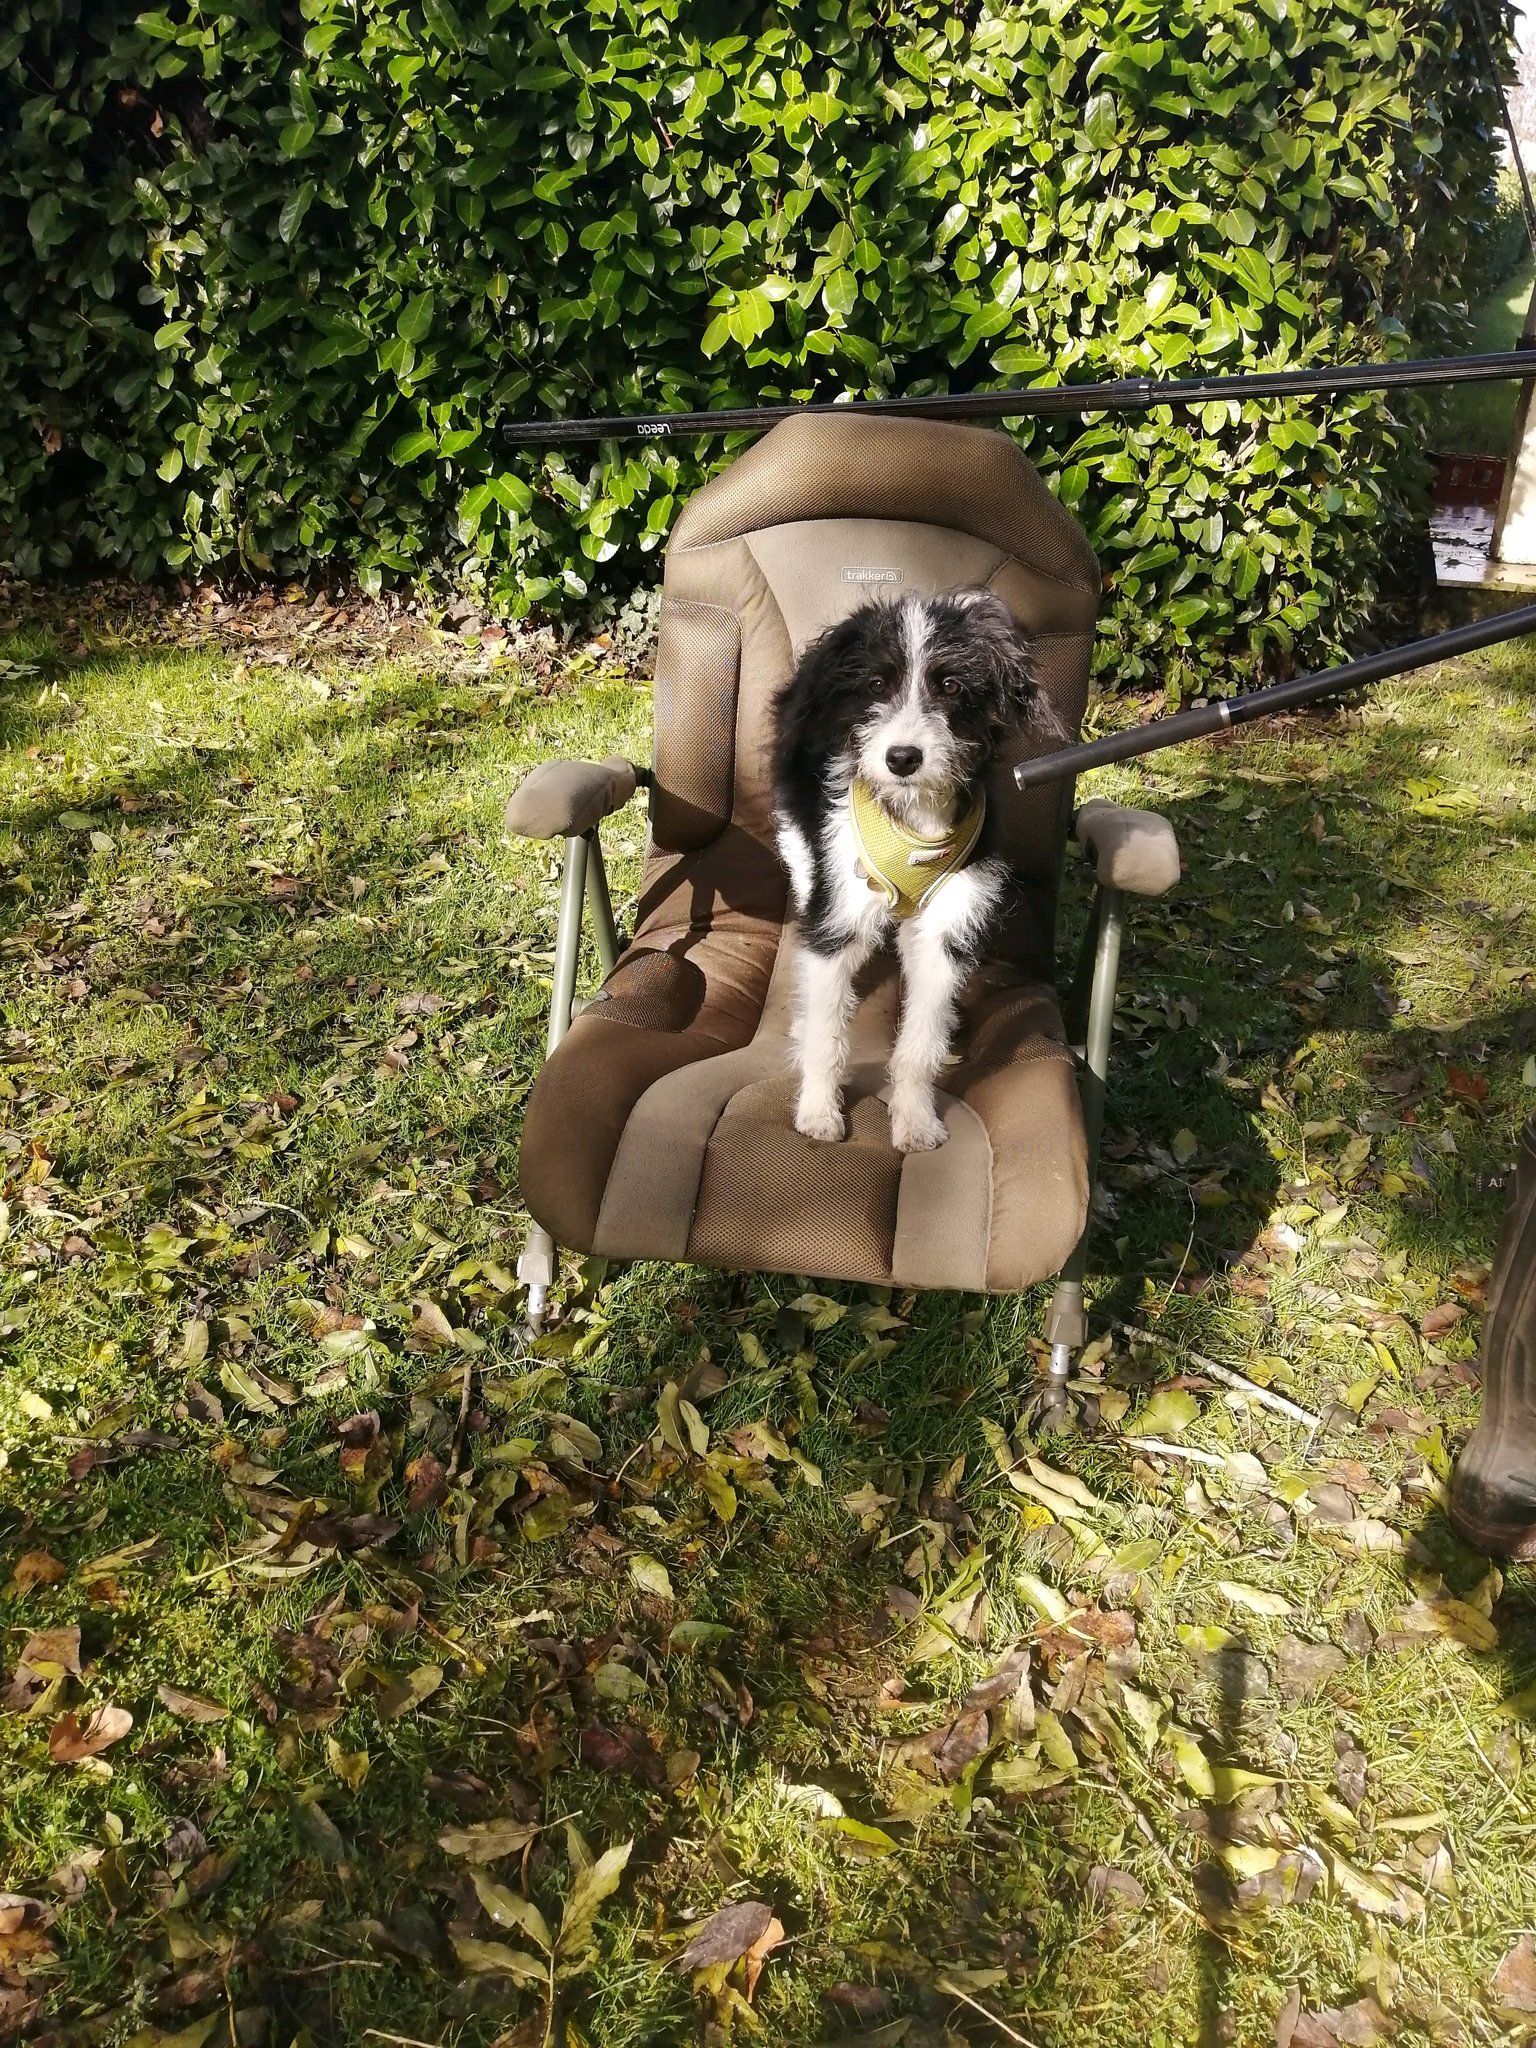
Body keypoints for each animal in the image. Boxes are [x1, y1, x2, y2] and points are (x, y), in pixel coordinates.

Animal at [770, 589, 1038, 1154]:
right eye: (876, 685)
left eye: (951, 686)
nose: (902, 758)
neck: (913, 820)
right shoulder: (837, 917)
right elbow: (827, 1025)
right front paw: (818, 1110)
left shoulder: (945, 932)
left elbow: (921, 1039)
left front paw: (914, 1119)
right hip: (802, 845)